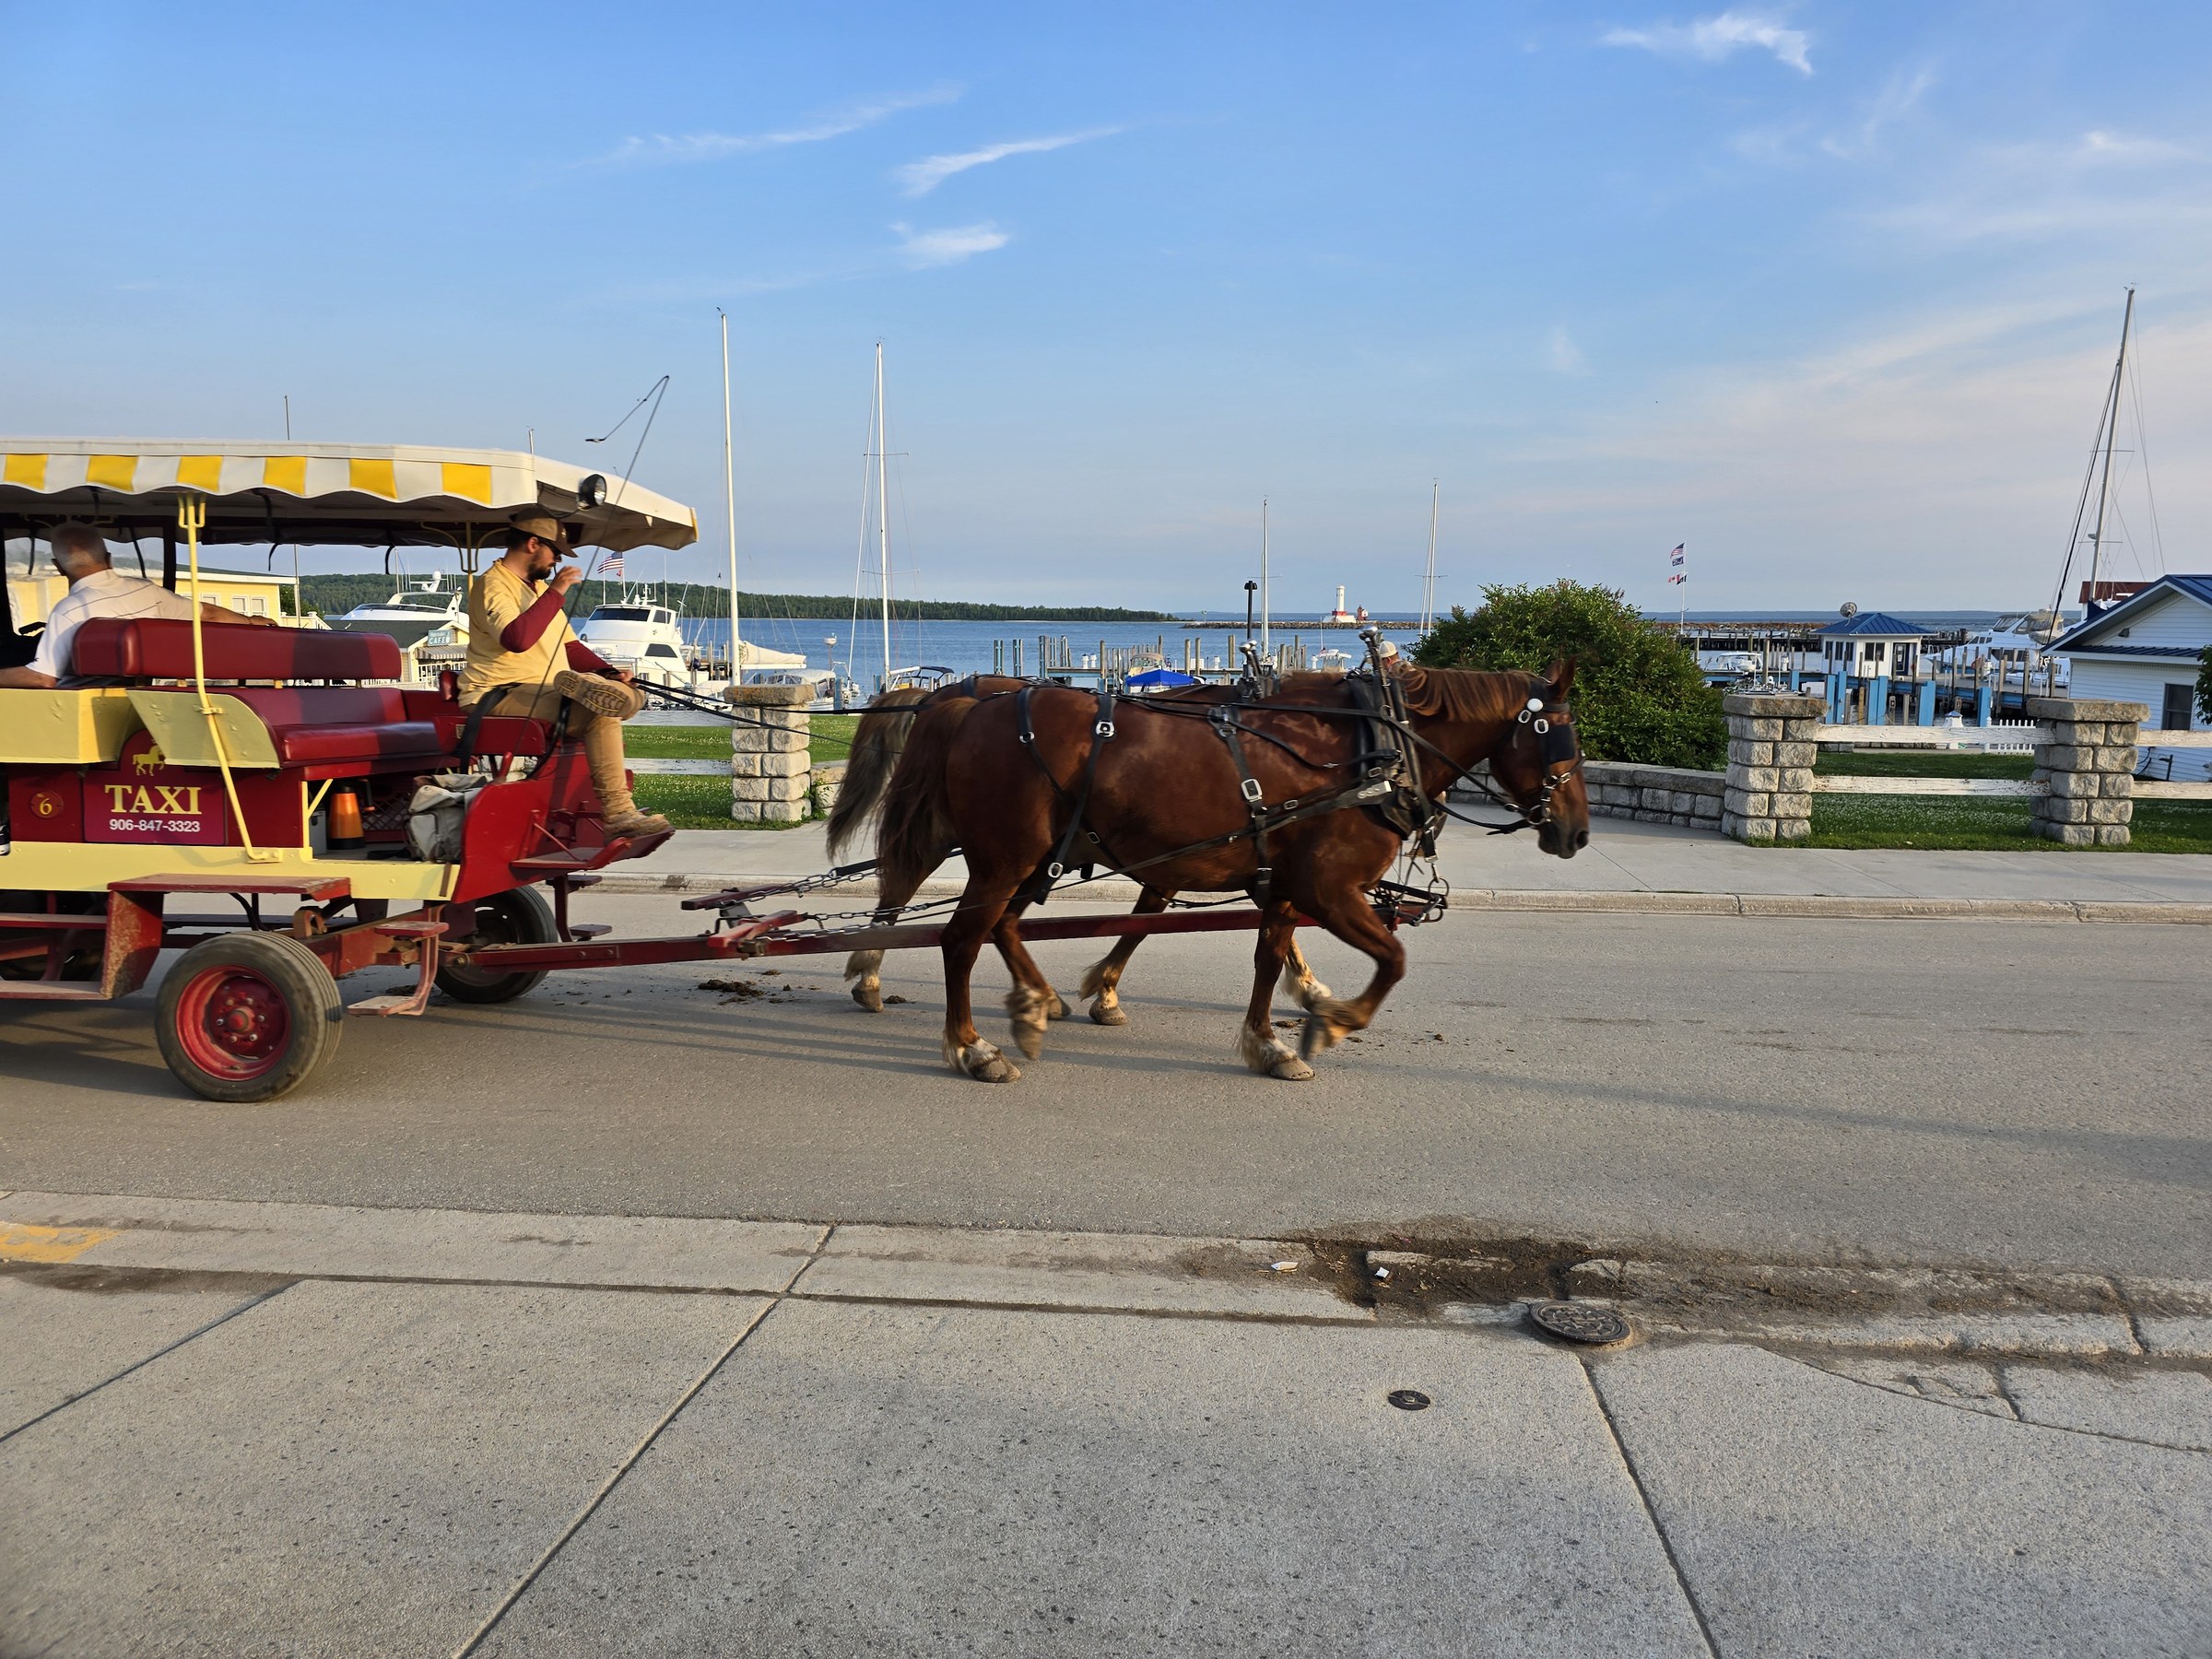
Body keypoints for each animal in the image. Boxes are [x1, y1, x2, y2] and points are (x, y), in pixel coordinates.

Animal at [829, 660, 1589, 1083]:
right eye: (1560, 739)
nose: (1577, 832)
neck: (1374, 747)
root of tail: (965, 699)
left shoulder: (1280, 882)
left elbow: (1265, 955)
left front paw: (1270, 1040)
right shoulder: (1328, 887)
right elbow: (1394, 959)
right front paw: (1334, 1021)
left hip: (1029, 857)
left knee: (998, 923)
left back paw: (1030, 1002)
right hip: (1001, 854)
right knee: (953, 929)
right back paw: (964, 1043)